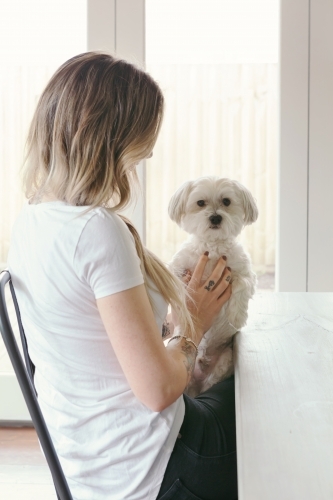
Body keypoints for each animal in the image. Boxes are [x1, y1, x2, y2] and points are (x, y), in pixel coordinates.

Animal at [169, 176, 256, 394]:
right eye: (200, 203)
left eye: (226, 201)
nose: (215, 218)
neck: (213, 246)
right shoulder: (177, 268)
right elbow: (177, 286)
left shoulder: (246, 274)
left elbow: (241, 284)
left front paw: (237, 316)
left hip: (223, 362)